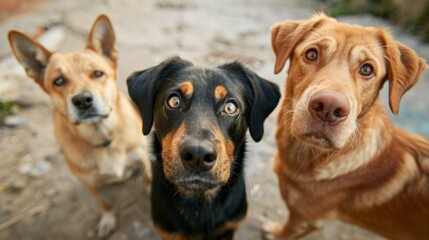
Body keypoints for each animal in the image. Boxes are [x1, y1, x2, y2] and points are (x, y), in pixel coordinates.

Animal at [7, 15, 150, 238]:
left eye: (97, 73)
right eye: (59, 81)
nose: (83, 100)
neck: (104, 139)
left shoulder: (143, 159)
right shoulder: (89, 183)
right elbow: (104, 202)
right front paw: (108, 220)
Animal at [264, 13, 428, 240]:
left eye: (367, 69)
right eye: (312, 54)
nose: (328, 107)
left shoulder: (304, 219)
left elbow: (287, 230)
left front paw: (276, 232)